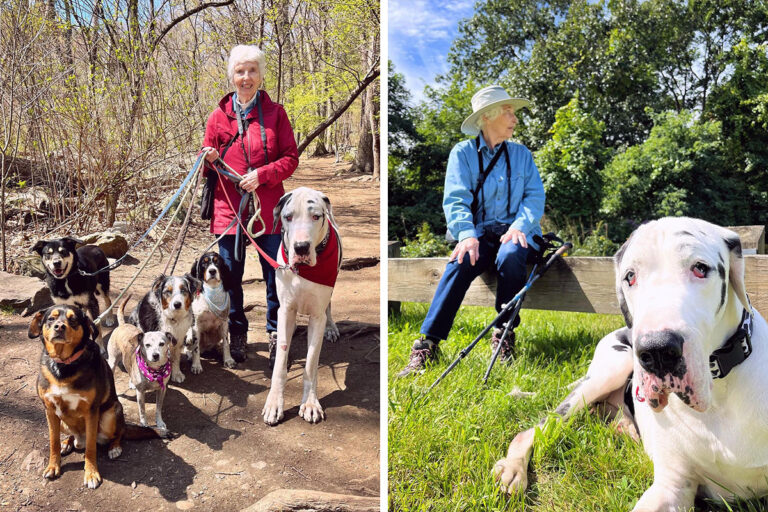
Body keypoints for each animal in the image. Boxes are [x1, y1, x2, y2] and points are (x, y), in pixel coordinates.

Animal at [31, 304, 168, 488]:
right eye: (51, 319)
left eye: (73, 319)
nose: (59, 327)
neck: (64, 366)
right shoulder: (50, 410)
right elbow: (53, 442)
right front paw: (53, 466)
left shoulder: (91, 411)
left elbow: (90, 447)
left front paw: (91, 474)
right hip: (63, 420)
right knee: (71, 435)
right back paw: (67, 443)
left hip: (111, 414)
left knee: (118, 433)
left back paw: (114, 447)